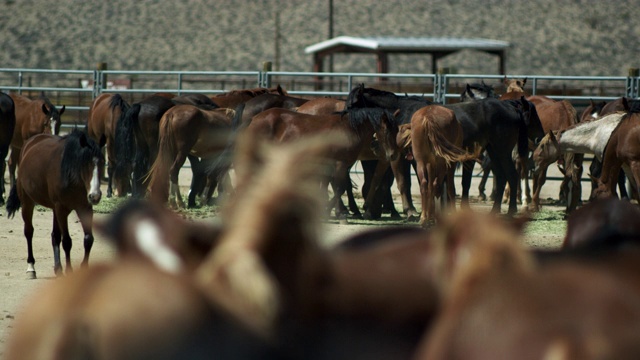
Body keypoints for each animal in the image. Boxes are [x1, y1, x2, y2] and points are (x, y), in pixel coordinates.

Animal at [4, 129, 102, 278]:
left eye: (102, 162)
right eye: (85, 164)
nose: (95, 196)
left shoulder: (84, 208)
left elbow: (88, 239)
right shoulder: (61, 209)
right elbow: (67, 241)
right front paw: (69, 271)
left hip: (55, 209)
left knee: (55, 235)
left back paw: (58, 269)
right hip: (28, 203)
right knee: (29, 232)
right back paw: (31, 267)